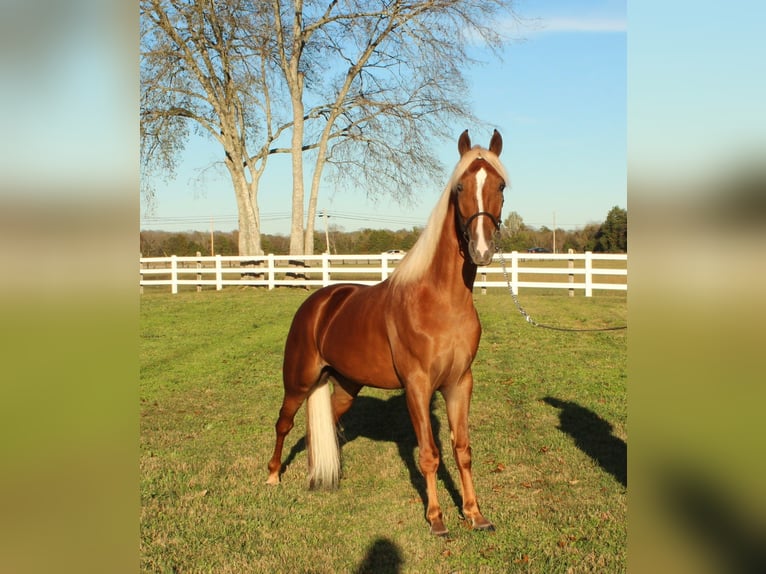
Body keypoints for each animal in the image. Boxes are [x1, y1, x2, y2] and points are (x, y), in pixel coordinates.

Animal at [270, 130, 510, 540]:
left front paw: (475, 514)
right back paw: (272, 476)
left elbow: (462, 450)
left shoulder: (460, 383)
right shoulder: (417, 385)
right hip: (298, 382)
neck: (441, 300)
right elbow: (429, 455)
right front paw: (436, 519)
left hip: (346, 386)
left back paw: (319, 474)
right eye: (459, 186)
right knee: (284, 423)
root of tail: (318, 303)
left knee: (324, 425)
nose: (481, 249)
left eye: (501, 185)